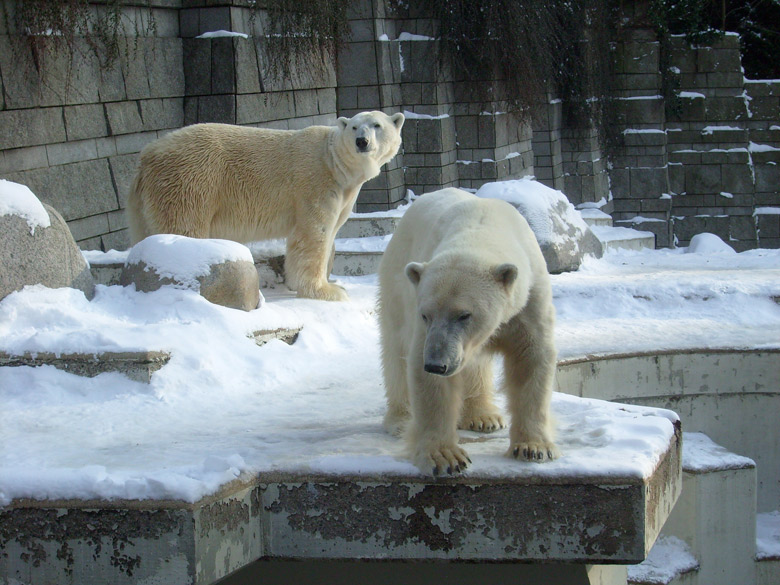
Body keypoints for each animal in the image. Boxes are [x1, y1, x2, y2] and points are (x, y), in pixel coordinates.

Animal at [125, 110, 406, 302]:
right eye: (355, 127)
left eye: (377, 125)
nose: (362, 141)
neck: (334, 162)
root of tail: (146, 156)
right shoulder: (314, 182)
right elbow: (314, 235)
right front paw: (328, 291)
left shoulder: (344, 193)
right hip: (190, 181)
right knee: (183, 228)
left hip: (147, 199)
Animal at [380, 187, 556, 474]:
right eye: (426, 315)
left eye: (464, 315)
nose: (437, 364)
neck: (481, 227)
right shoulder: (424, 319)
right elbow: (423, 372)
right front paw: (445, 457)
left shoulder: (529, 300)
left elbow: (531, 357)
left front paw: (534, 447)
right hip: (397, 277)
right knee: (396, 348)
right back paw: (400, 419)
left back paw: (483, 416)